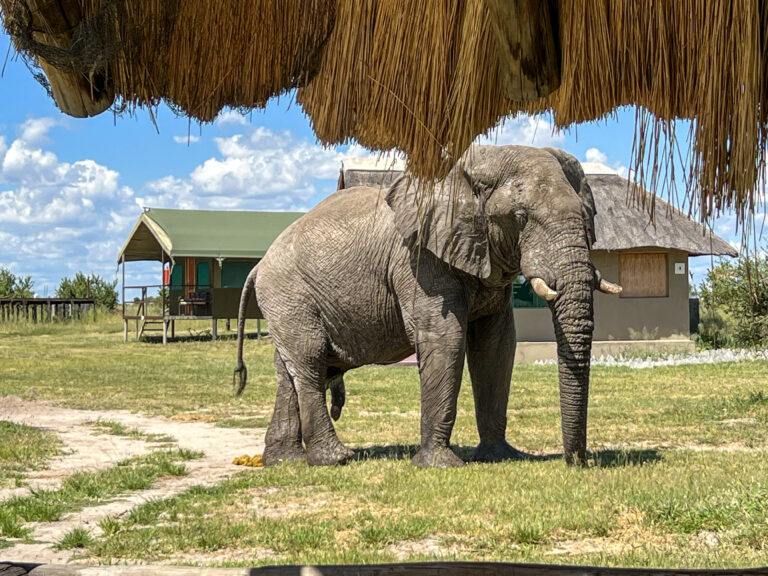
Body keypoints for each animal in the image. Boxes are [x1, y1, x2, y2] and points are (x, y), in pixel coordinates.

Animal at [234, 144, 624, 468]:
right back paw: (336, 459)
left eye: (587, 217)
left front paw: (501, 456)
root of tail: (258, 265)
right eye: (520, 217)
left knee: (289, 371)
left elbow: (496, 345)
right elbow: (445, 337)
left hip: (285, 302)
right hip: (289, 295)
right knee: (310, 361)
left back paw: (285, 461)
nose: (579, 462)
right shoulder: (419, 261)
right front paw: (441, 465)